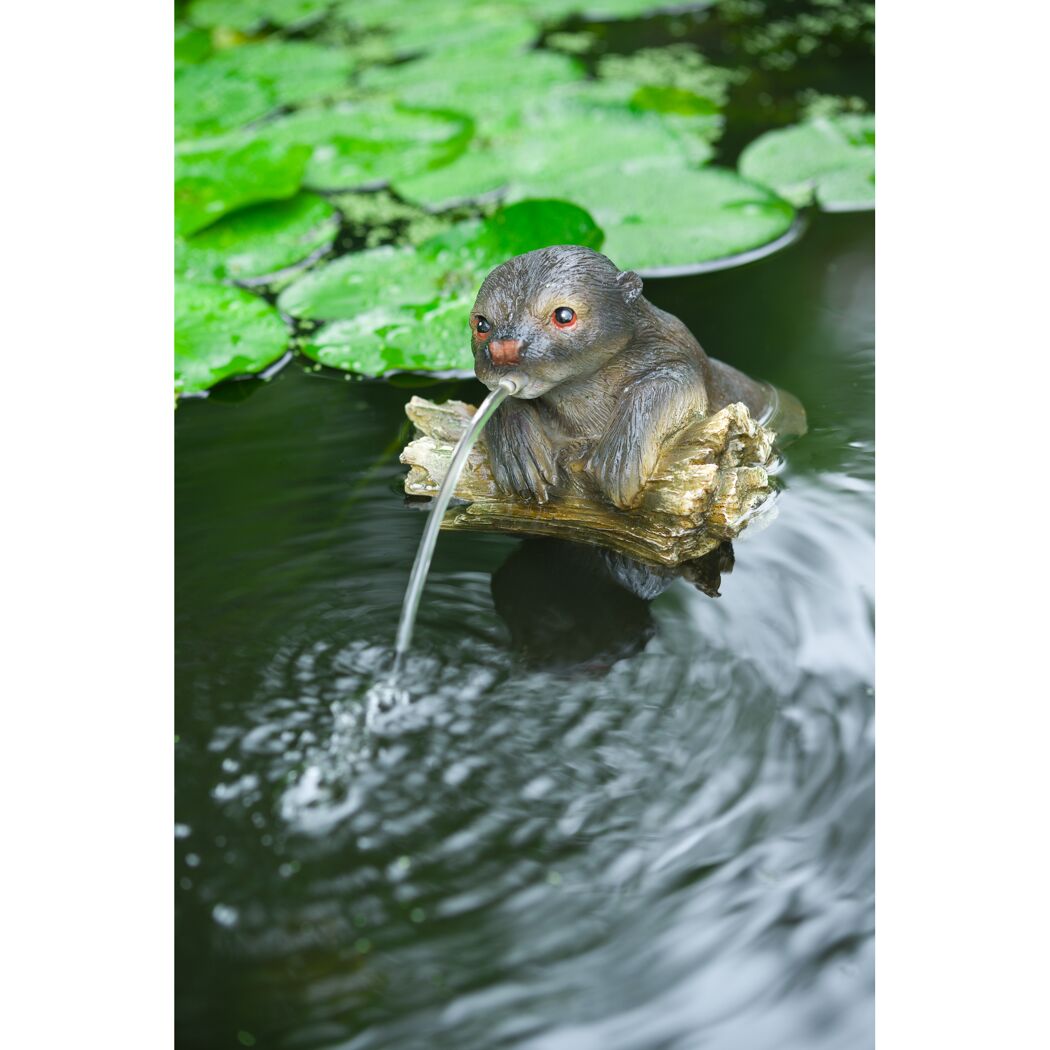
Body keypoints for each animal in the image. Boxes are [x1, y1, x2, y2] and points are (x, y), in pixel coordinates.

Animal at [470, 244, 776, 510]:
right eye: (481, 324)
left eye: (564, 315)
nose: (503, 349)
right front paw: (516, 449)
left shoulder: (680, 357)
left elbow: (665, 382)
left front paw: (621, 457)